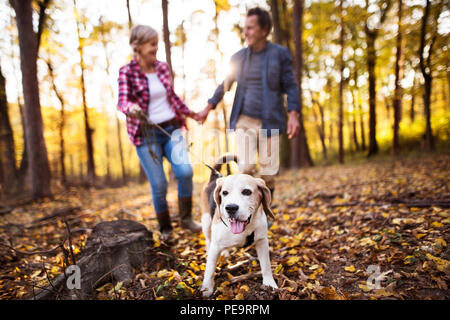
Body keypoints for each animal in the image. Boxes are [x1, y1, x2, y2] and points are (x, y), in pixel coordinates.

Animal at [200, 155, 278, 298]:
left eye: (247, 192)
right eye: (224, 193)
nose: (230, 208)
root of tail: (214, 177)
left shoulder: (262, 241)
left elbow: (266, 265)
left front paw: (270, 284)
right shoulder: (215, 247)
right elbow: (209, 270)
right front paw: (207, 288)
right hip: (206, 222)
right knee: (209, 240)